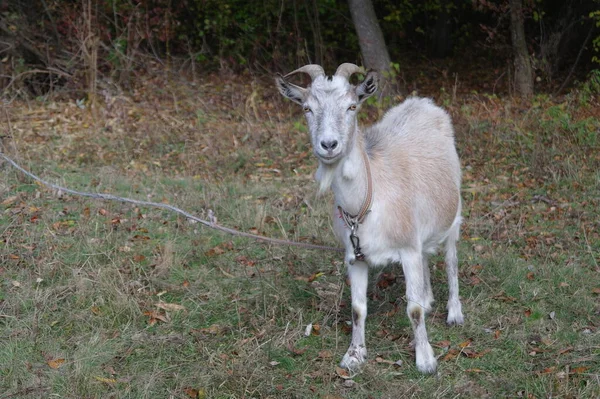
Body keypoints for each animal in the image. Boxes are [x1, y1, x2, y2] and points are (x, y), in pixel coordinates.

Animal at [276, 63, 464, 376]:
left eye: (352, 106)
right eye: (306, 108)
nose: (329, 144)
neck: (368, 201)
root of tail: (424, 102)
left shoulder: (407, 249)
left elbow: (412, 310)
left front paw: (426, 360)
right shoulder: (356, 257)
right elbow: (357, 308)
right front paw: (354, 355)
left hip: (453, 216)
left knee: (451, 262)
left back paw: (455, 313)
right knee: (427, 257)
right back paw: (428, 298)